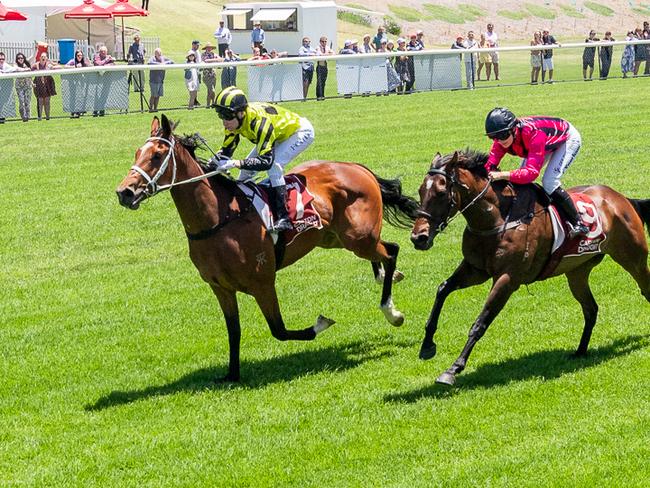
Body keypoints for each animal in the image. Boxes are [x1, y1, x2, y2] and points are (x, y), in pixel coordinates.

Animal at [114, 114, 418, 382]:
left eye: (156, 156)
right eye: (137, 152)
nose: (124, 192)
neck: (218, 219)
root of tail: (356, 167)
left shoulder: (262, 282)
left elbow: (279, 330)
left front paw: (321, 323)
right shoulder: (220, 287)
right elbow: (234, 331)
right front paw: (232, 375)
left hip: (358, 237)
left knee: (391, 250)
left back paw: (392, 312)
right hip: (335, 238)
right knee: (382, 253)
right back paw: (386, 276)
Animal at [410, 149, 648, 386]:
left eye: (441, 192)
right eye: (421, 191)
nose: (418, 238)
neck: (498, 218)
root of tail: (622, 199)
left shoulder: (507, 278)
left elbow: (480, 322)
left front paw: (453, 369)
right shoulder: (475, 269)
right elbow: (443, 289)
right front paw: (427, 345)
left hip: (633, 258)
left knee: (645, 290)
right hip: (577, 271)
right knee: (591, 309)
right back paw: (580, 351)